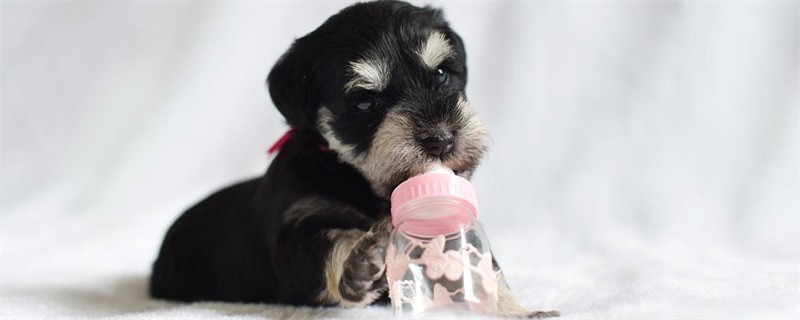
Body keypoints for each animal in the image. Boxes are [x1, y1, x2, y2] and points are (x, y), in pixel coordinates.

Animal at [153, 1, 560, 318]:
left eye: (443, 73)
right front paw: (356, 266)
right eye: (364, 102)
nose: (442, 140)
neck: (358, 180)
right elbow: (326, 246)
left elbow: (483, 267)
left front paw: (517, 310)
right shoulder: (296, 229)